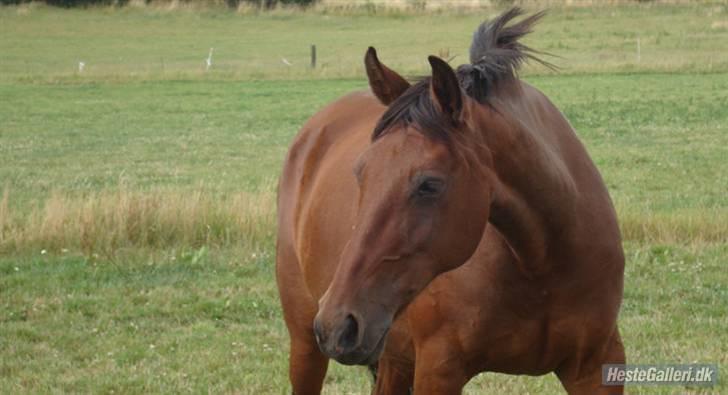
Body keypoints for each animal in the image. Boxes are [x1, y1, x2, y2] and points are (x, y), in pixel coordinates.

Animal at [276, 7, 624, 394]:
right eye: (360, 173)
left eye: (429, 184)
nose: (339, 322)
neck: (543, 263)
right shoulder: (438, 369)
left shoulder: (596, 366)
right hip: (306, 343)